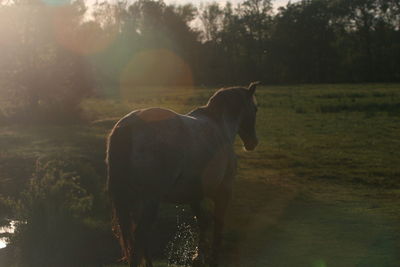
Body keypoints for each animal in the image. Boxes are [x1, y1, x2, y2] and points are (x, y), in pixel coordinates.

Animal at [106, 82, 260, 267]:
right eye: (256, 109)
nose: (253, 142)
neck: (220, 126)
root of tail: (128, 125)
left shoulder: (194, 195)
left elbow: (203, 221)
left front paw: (198, 256)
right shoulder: (224, 192)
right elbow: (218, 226)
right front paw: (212, 258)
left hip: (135, 201)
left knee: (141, 238)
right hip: (150, 200)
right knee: (140, 236)